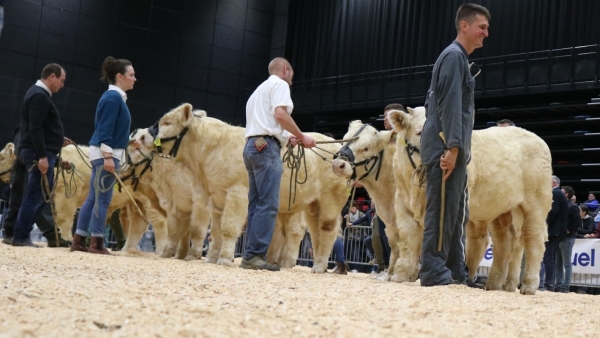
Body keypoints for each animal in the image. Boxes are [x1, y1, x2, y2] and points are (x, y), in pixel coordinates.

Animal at [155, 103, 346, 272]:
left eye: (167, 123)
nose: (151, 135)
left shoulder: (236, 193)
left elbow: (227, 228)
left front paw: (224, 259)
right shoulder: (216, 198)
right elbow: (215, 231)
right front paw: (212, 258)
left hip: (330, 200)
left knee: (326, 230)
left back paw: (316, 266)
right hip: (308, 205)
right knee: (310, 232)